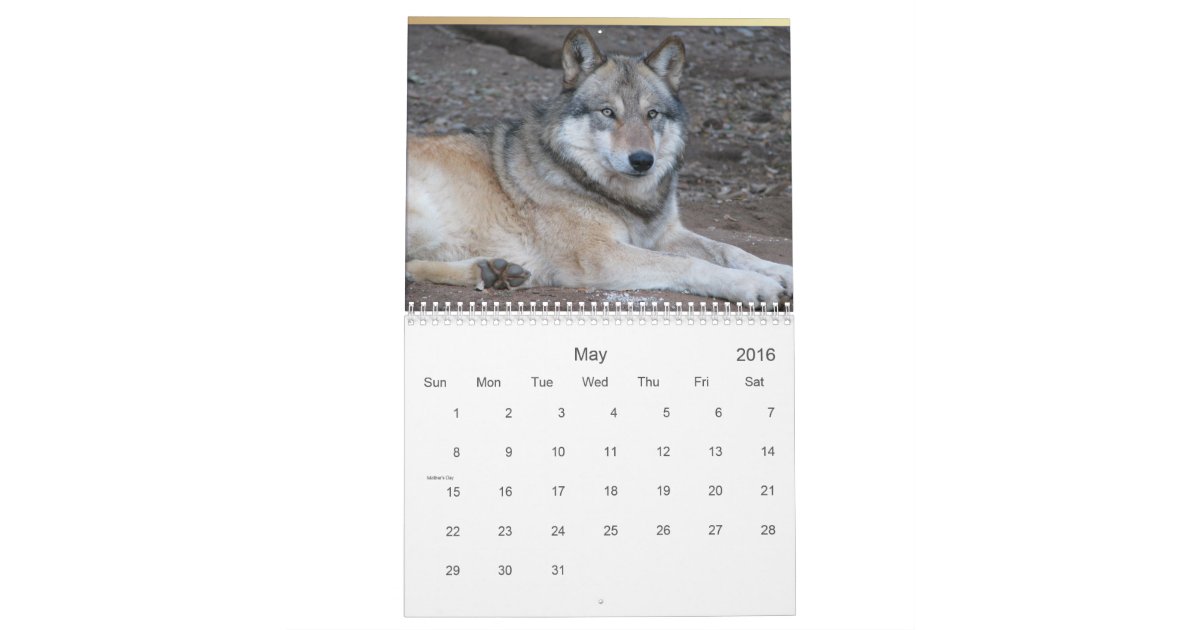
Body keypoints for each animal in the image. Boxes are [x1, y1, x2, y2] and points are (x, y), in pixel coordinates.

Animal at [406, 28, 793, 304]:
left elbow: (730, 250)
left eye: (652, 114)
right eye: (608, 112)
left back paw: (492, 272)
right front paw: (754, 285)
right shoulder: (599, 255)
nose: (642, 160)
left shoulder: (665, 234)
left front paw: (780, 271)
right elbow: (692, 263)